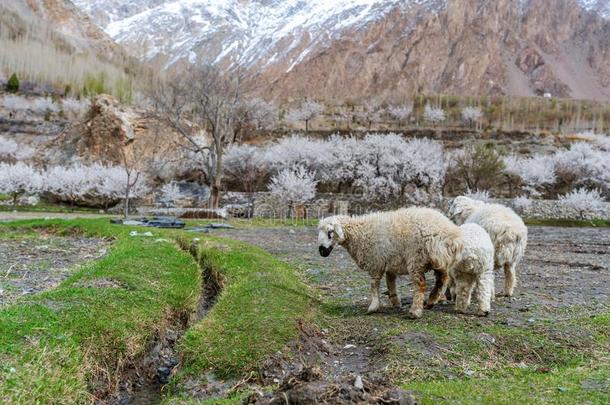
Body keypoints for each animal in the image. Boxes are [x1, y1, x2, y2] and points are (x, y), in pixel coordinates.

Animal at [316, 208, 464, 318]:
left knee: (421, 285)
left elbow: (374, 284)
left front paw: (373, 306)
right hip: (439, 259)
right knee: (442, 279)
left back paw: (415, 311)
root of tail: (449, 234)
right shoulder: (390, 261)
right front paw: (395, 301)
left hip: (416, 258)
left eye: (330, 232)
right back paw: (431, 300)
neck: (359, 234)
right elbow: (390, 282)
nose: (322, 251)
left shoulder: (376, 261)